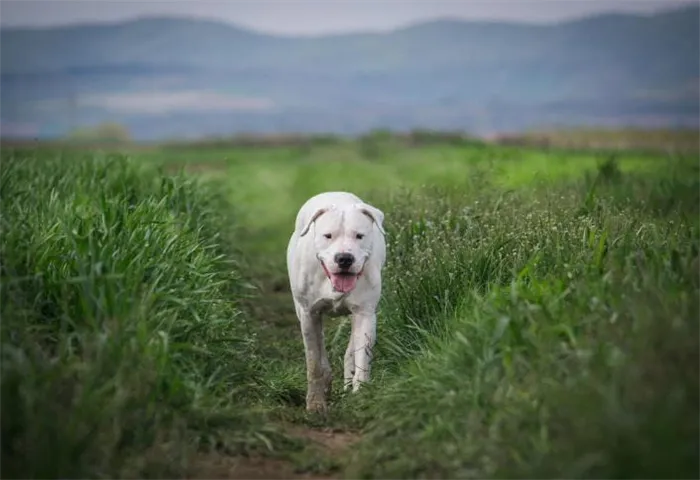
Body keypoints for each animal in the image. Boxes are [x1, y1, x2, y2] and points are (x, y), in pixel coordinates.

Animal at [286, 191, 388, 412]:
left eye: (359, 236)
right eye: (328, 236)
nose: (344, 258)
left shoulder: (365, 313)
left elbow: (362, 357)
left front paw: (360, 395)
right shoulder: (309, 313)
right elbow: (314, 361)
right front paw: (315, 403)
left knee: (352, 347)